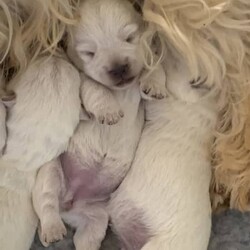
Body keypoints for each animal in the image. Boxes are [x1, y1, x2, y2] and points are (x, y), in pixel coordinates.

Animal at [31, 0, 166, 249]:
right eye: (89, 53)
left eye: (129, 38)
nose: (119, 68)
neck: (121, 90)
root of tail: (70, 202)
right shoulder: (83, 81)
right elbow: (96, 89)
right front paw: (109, 112)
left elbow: (153, 68)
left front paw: (154, 85)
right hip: (51, 172)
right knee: (46, 202)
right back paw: (52, 230)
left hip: (98, 213)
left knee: (87, 234)